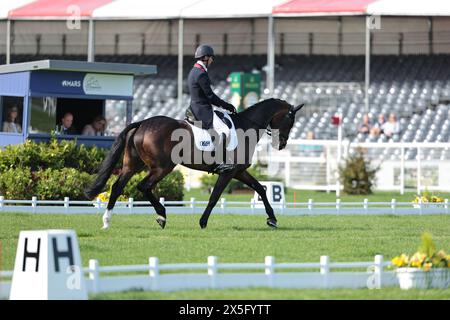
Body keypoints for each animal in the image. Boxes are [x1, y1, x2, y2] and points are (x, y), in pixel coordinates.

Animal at [85, 99, 302, 229]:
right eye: (290, 120)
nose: (282, 144)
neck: (245, 127)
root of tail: (142, 124)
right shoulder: (229, 172)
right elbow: (214, 197)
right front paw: (203, 221)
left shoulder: (239, 172)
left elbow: (261, 189)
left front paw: (272, 219)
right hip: (163, 167)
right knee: (144, 186)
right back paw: (162, 216)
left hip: (133, 166)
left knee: (117, 187)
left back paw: (107, 221)